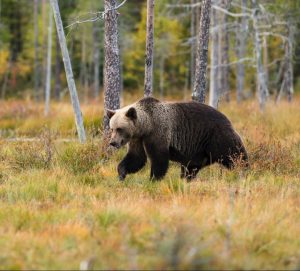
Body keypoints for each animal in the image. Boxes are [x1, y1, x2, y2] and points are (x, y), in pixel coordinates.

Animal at [108, 96, 248, 182]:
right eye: (112, 128)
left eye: (120, 128)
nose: (113, 142)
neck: (146, 126)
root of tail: (227, 118)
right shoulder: (137, 139)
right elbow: (136, 158)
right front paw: (121, 174)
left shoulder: (159, 132)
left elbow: (159, 159)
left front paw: (153, 179)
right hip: (197, 150)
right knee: (190, 167)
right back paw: (186, 179)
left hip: (217, 137)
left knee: (234, 155)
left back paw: (244, 171)